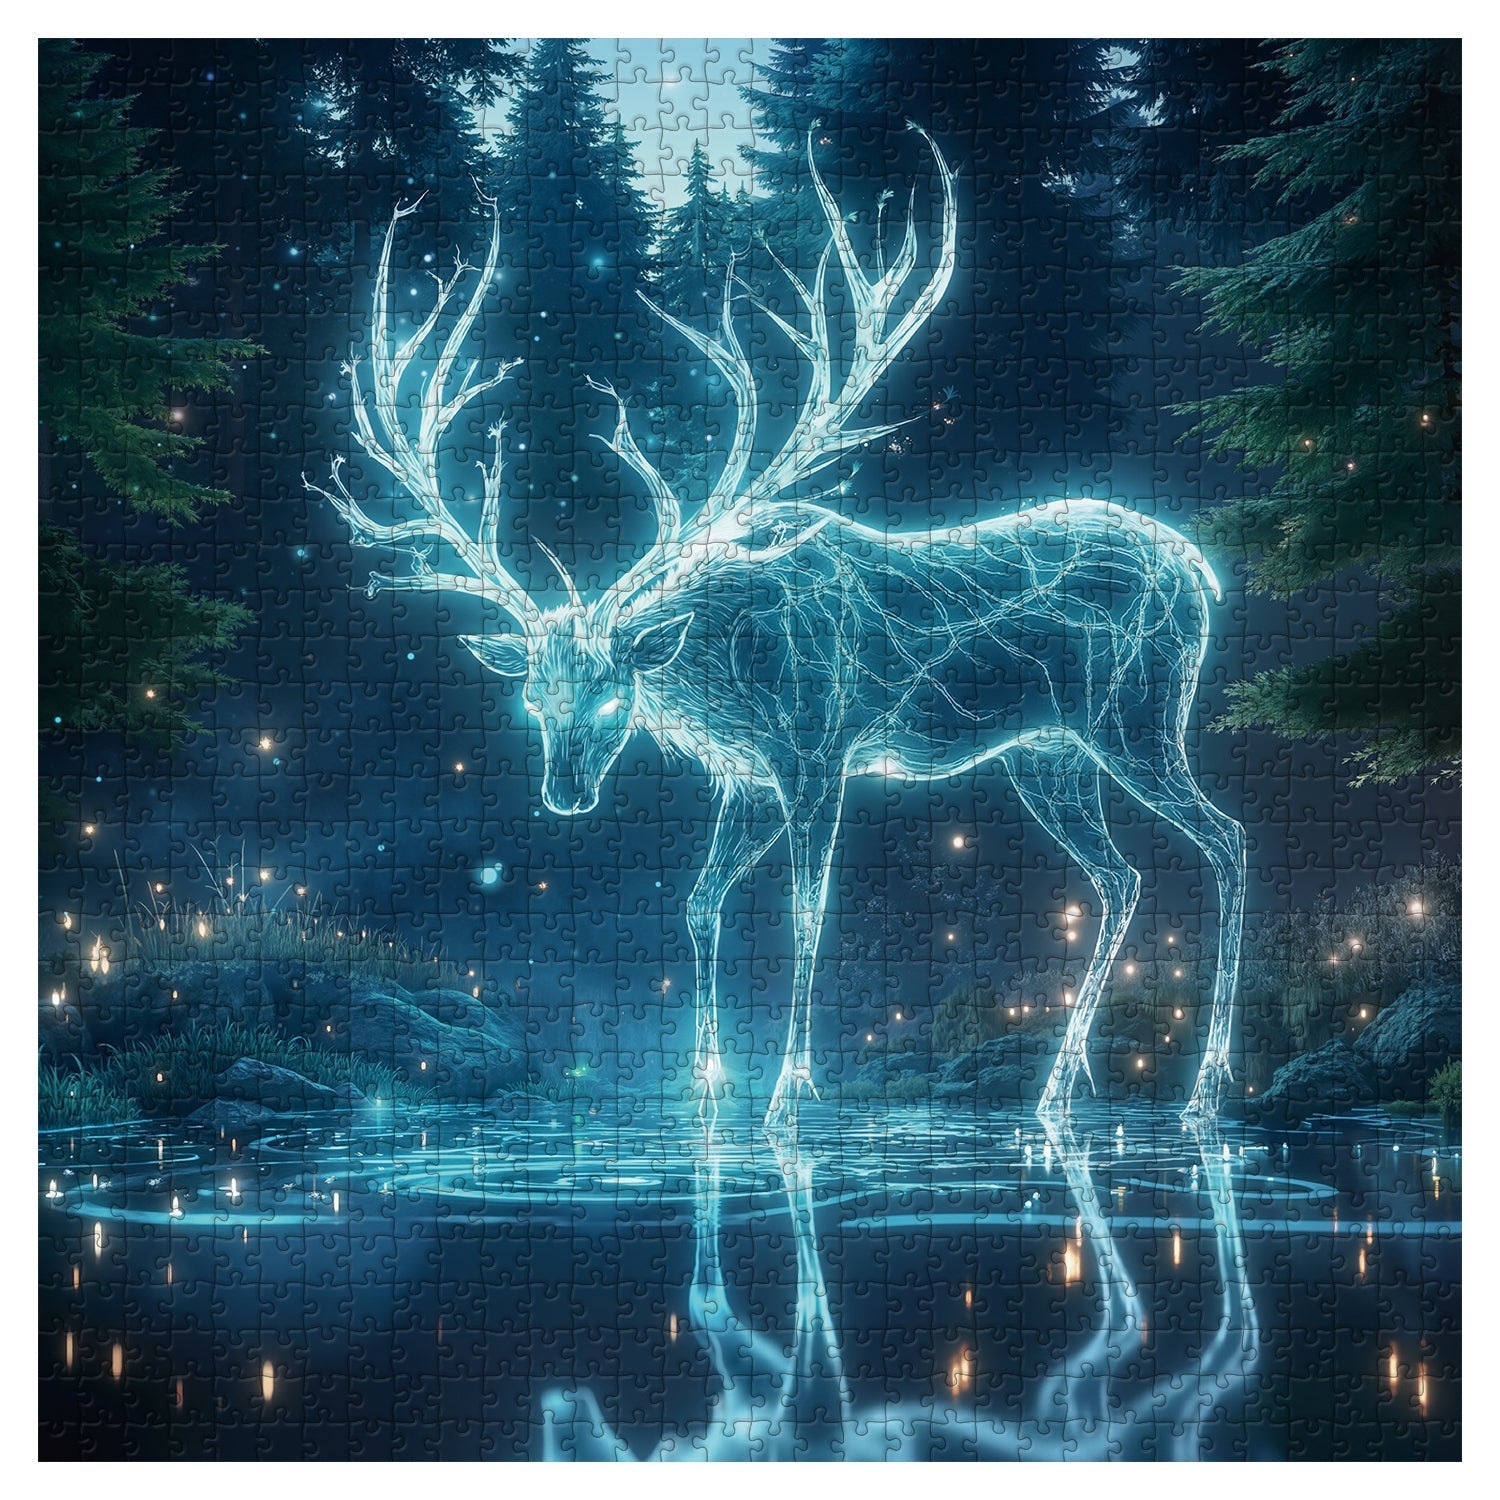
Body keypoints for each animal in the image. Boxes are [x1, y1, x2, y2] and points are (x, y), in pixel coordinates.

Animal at [308, 127, 1246, 1138]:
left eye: (611, 697)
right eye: (532, 700)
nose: (563, 795)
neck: (728, 676)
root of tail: (1202, 573)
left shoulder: (816, 750)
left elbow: (805, 909)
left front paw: (790, 1089)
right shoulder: (745, 777)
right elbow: (700, 902)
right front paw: (707, 1082)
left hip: (1137, 715)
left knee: (1227, 839)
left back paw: (1201, 1089)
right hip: (1049, 754)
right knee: (1121, 878)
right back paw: (1057, 1089)